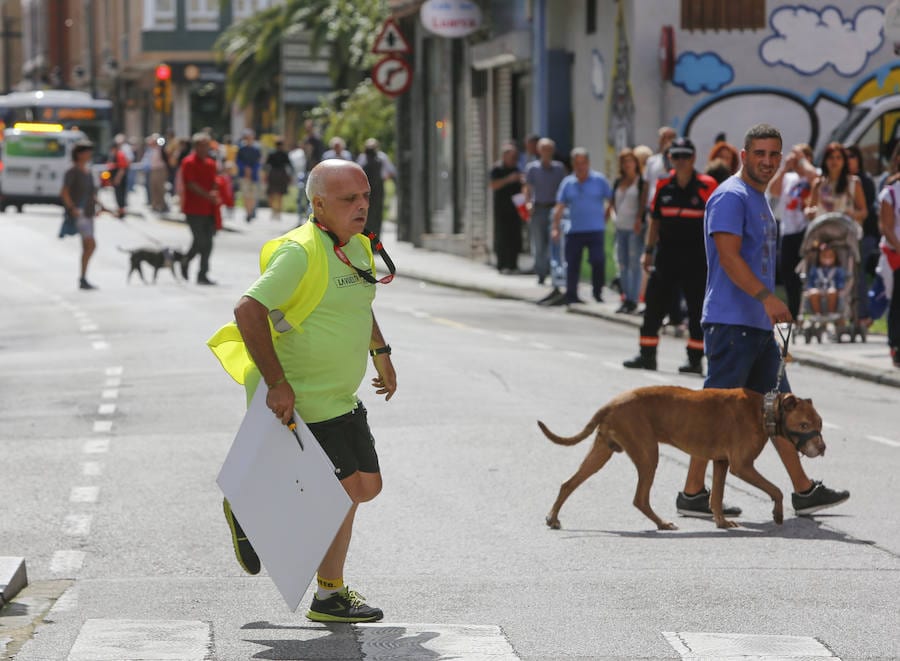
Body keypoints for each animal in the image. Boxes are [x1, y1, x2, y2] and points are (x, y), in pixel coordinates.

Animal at [536, 386, 828, 532]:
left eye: (820, 424)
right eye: (804, 425)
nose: (823, 448)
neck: (763, 410)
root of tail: (611, 404)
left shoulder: (721, 463)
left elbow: (717, 497)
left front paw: (721, 522)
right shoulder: (741, 466)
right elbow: (776, 489)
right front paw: (778, 514)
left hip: (601, 452)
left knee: (568, 483)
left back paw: (553, 517)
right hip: (648, 454)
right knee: (640, 498)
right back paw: (661, 523)